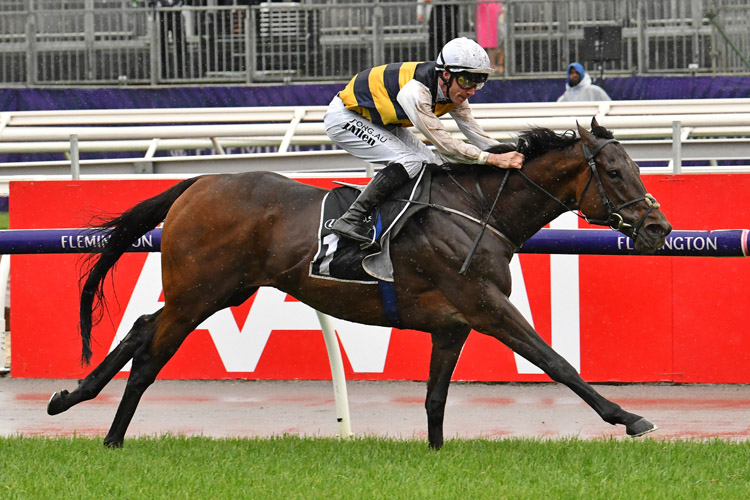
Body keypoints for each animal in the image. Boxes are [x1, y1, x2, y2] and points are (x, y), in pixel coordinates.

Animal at [48, 119, 676, 448]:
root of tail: (198, 182)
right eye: (614, 171)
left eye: (635, 167)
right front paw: (630, 418)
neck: (479, 210)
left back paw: (69, 398)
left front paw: (437, 454)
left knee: (139, 327)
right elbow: (556, 361)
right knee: (150, 355)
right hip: (198, 293)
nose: (659, 228)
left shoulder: (452, 325)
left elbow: (435, 396)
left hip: (219, 291)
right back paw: (112, 436)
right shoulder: (487, 306)